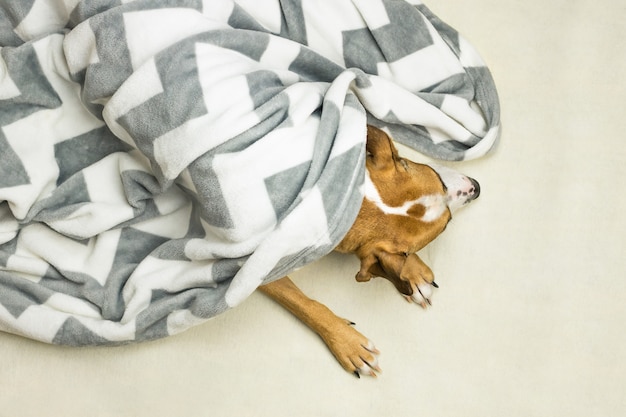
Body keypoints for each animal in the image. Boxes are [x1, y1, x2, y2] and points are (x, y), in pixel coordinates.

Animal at [256, 124, 476, 376]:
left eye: (439, 180)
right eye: (447, 222)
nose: (477, 188)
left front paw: (412, 275)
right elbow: (302, 303)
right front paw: (348, 343)